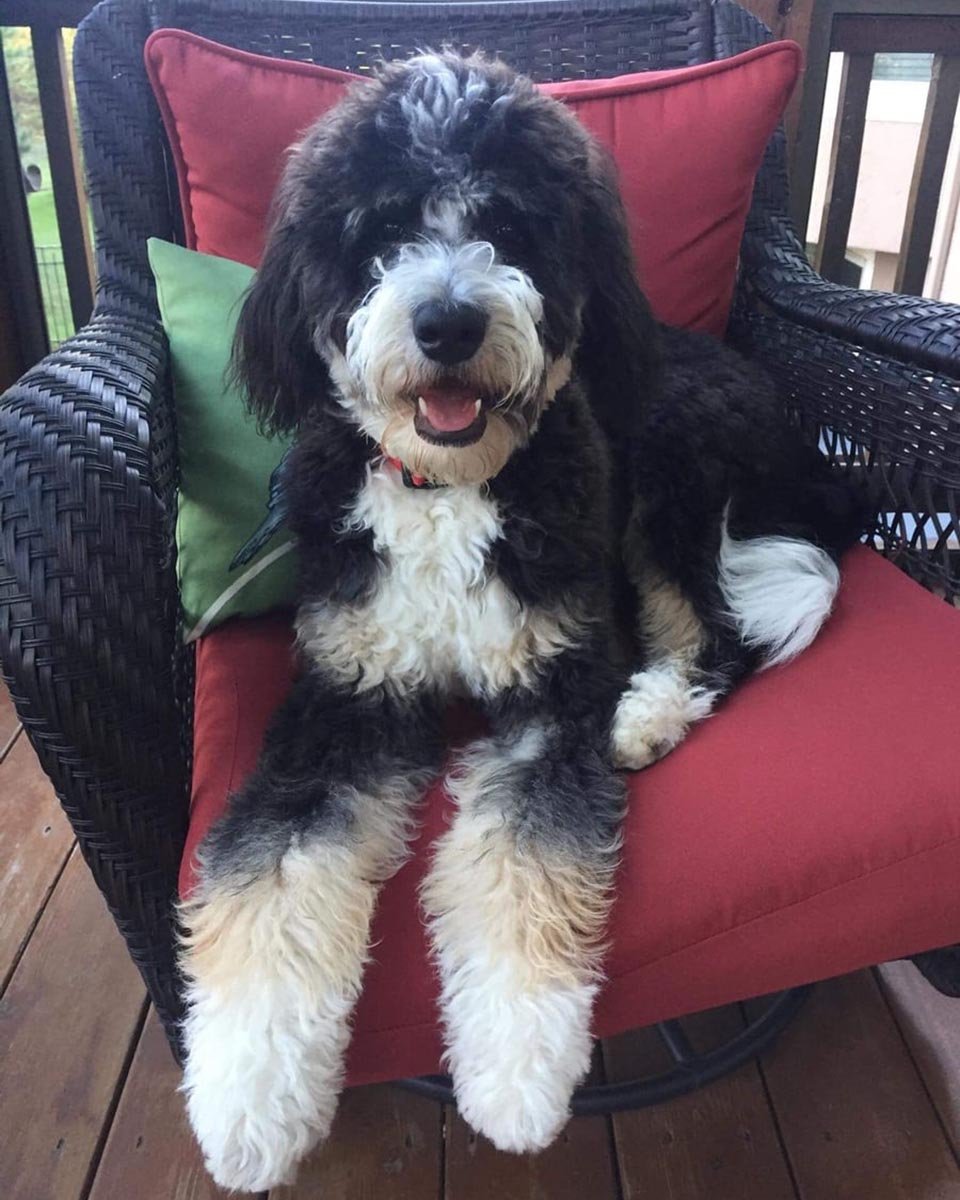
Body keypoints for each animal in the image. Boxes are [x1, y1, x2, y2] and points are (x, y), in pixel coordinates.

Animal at [177, 49, 864, 1190]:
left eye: (511, 223)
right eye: (380, 229)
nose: (450, 321)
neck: (447, 489)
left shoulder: (555, 688)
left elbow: (525, 868)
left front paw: (516, 1077)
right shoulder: (339, 701)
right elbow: (272, 874)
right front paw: (248, 1100)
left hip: (671, 474)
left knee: (719, 631)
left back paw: (648, 716)